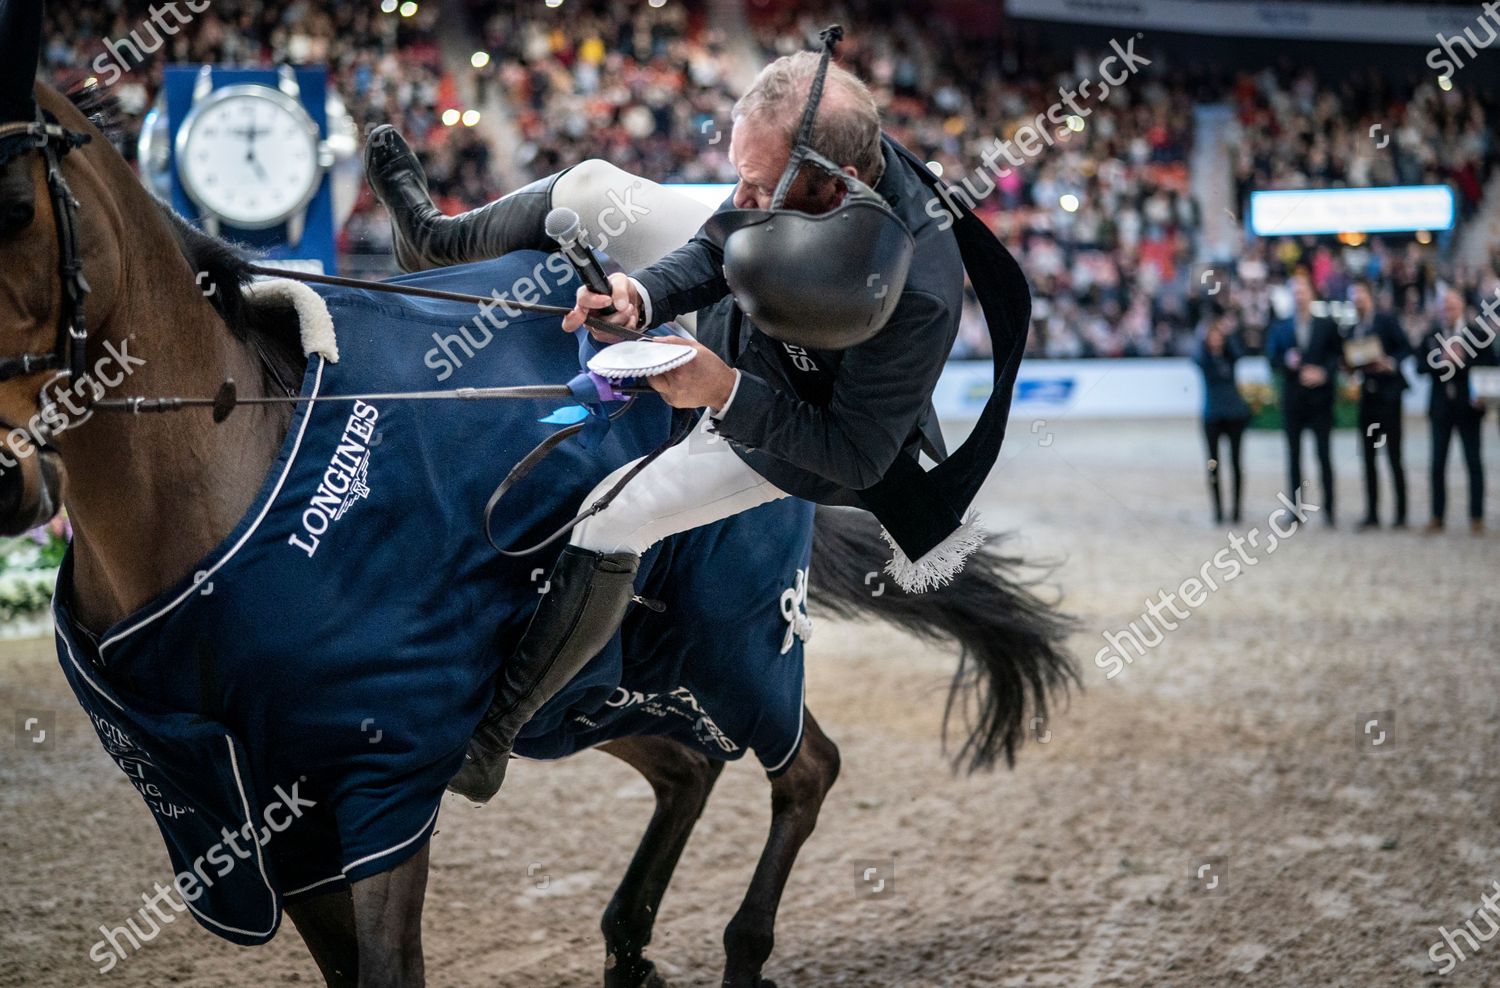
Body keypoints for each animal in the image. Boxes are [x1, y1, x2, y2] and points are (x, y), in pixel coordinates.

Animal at [2, 71, 1080, 988]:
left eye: (15, 208)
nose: (15, 477)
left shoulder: (379, 779)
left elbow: (387, 963)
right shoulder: (250, 814)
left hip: (736, 643)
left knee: (802, 766)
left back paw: (739, 948)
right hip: (605, 689)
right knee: (690, 765)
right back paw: (629, 945)